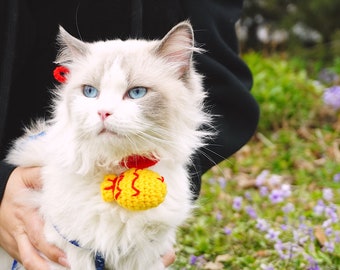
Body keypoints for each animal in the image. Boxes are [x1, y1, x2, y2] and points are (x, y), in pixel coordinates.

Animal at [0, 21, 211, 270]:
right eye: (90, 92)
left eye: (137, 93)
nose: (103, 112)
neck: (115, 171)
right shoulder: (70, 253)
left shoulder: (145, 256)